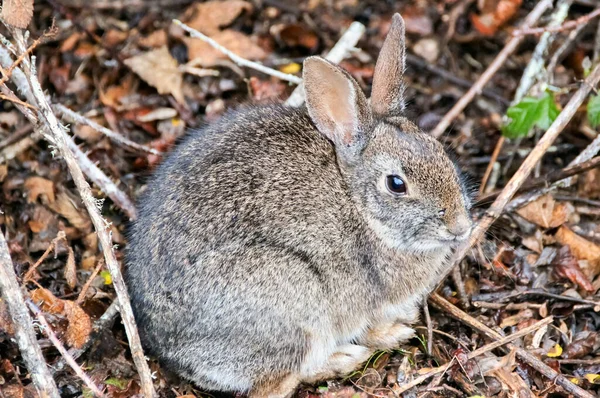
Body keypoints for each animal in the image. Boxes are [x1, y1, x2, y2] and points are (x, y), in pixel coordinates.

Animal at [126, 14, 474, 398]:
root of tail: (168, 349)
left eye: (442, 153)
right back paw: (344, 359)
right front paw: (397, 331)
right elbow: (371, 327)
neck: (361, 207)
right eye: (396, 184)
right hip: (295, 299)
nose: (460, 226)